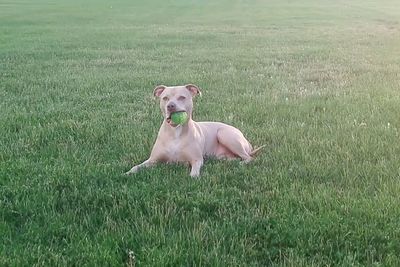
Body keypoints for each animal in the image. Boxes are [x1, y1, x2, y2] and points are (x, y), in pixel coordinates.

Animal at [125, 84, 262, 178]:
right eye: (165, 98)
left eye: (182, 97)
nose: (170, 106)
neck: (176, 132)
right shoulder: (152, 160)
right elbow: (137, 166)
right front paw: (127, 173)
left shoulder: (196, 160)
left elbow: (194, 173)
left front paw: (193, 177)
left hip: (224, 134)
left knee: (248, 157)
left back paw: (241, 164)